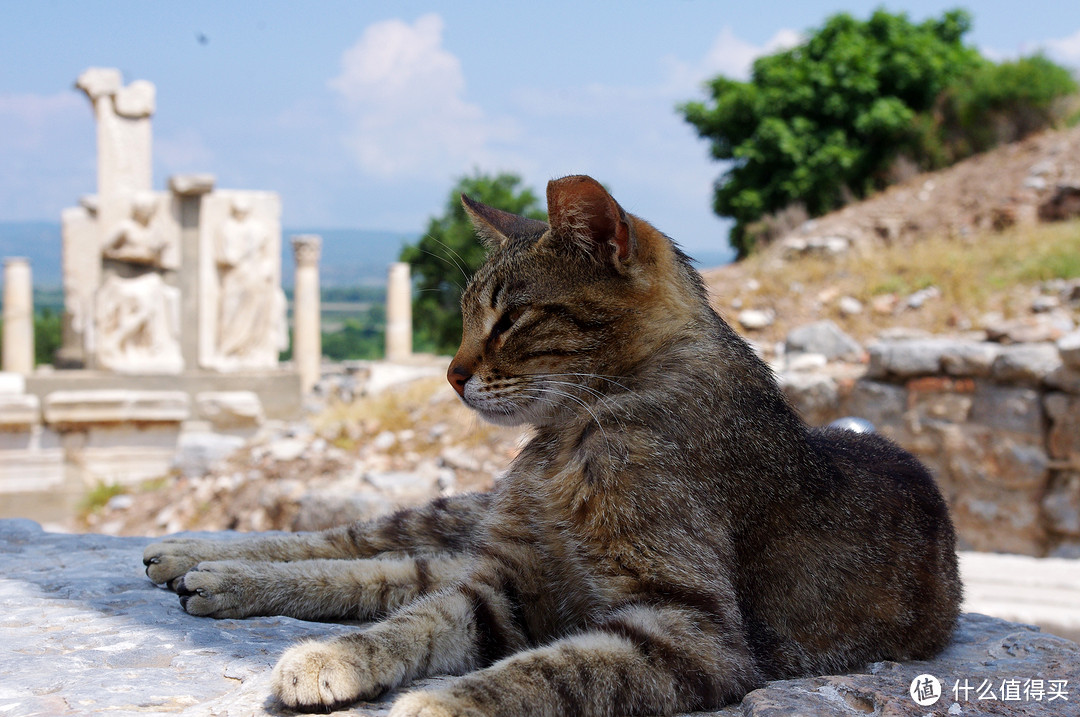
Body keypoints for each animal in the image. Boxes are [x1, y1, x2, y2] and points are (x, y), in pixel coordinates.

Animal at [145, 174, 963, 717]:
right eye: (467, 315)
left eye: (509, 319)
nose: (450, 373)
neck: (570, 437)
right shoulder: (509, 583)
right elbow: (416, 622)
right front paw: (339, 658)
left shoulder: (689, 630)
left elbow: (547, 669)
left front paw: (433, 703)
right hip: (459, 521)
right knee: (357, 546)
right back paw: (202, 559)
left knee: (383, 571)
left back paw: (218, 573)